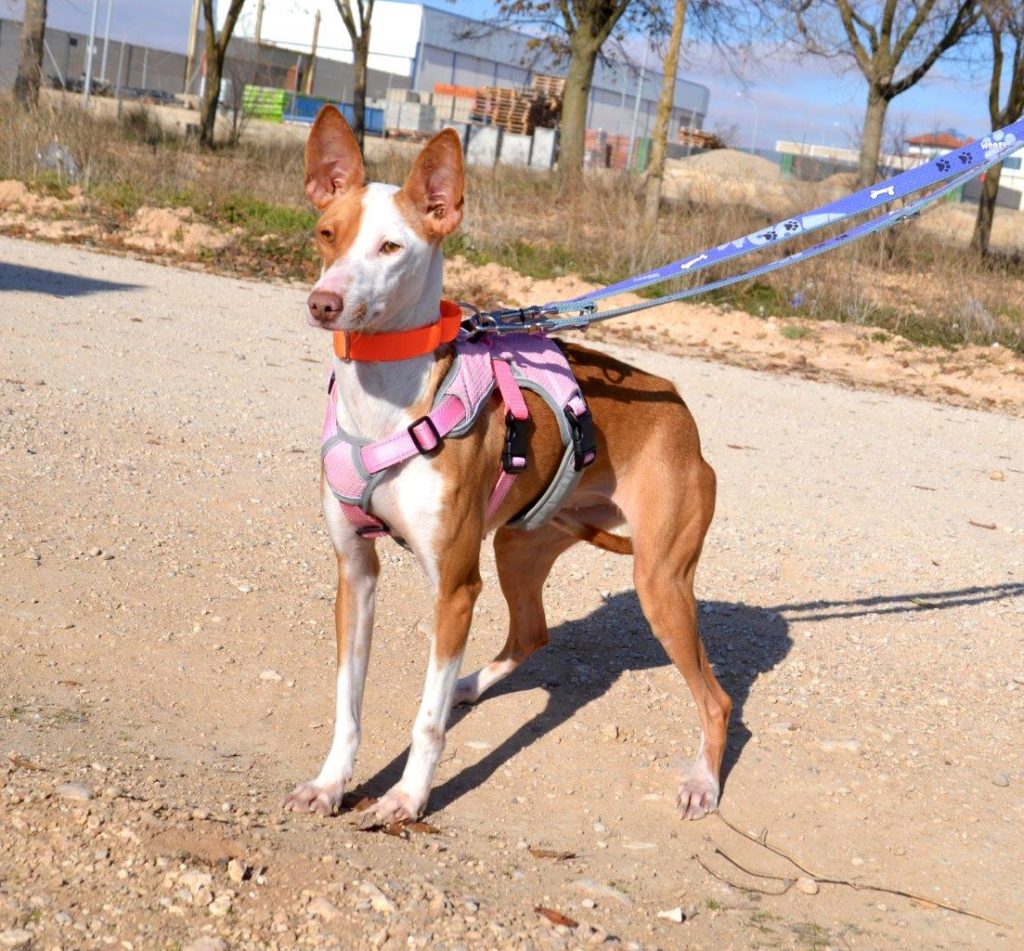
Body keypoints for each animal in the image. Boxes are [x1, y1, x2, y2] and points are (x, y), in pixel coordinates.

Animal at [280, 105, 729, 823]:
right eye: (328, 233)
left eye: (391, 248)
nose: (324, 303)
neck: (387, 406)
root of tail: (678, 408)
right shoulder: (355, 569)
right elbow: (348, 704)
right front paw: (330, 784)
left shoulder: (456, 587)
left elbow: (425, 720)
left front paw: (408, 796)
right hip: (519, 545)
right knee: (533, 634)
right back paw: (469, 683)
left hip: (660, 581)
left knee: (717, 698)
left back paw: (705, 783)